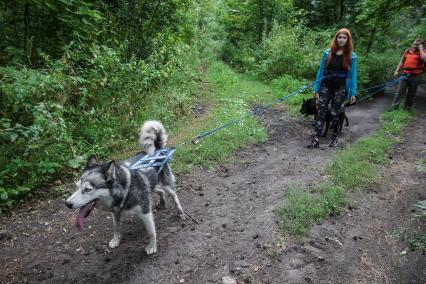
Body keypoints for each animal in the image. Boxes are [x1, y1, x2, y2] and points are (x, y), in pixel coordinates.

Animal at [64, 121, 184, 254]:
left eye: (87, 189)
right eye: (76, 186)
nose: (67, 203)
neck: (125, 189)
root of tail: (157, 148)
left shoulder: (145, 212)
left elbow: (151, 232)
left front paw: (152, 246)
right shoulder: (115, 212)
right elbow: (116, 228)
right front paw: (116, 240)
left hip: (167, 185)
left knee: (174, 197)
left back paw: (180, 212)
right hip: (151, 186)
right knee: (160, 191)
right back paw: (162, 202)